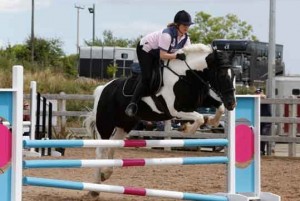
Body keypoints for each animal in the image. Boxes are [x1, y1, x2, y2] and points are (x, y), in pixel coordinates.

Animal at [83, 42, 236, 198]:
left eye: (233, 74)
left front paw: (211, 121)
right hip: (105, 125)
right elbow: (199, 118)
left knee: (113, 144)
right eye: (222, 74)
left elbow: (219, 109)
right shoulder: (175, 110)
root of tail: (104, 88)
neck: (186, 76)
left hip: (124, 124)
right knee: (100, 150)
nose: (232, 103)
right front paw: (186, 129)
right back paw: (95, 189)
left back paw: (106, 174)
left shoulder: (202, 100)